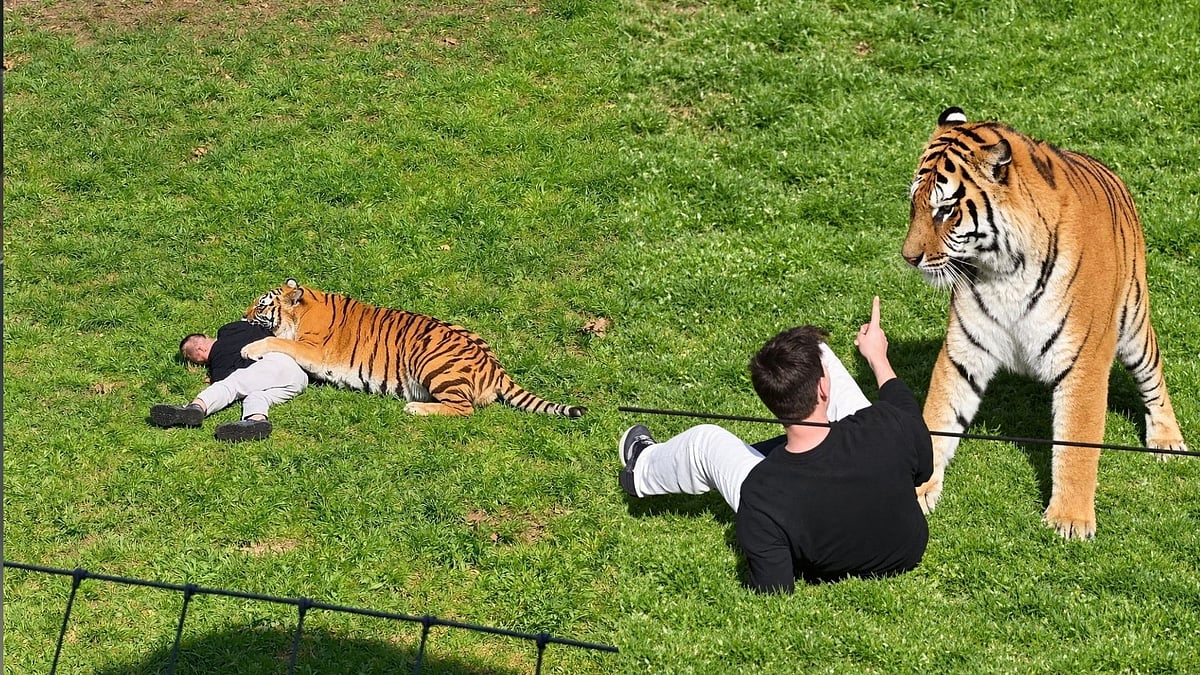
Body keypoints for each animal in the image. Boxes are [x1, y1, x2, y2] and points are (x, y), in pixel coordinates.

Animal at [239, 279, 586, 418]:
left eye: (261, 305)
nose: (242, 315)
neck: (306, 307)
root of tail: (495, 366)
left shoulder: (312, 349)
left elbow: (276, 340)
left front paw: (249, 348)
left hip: (432, 364)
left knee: (464, 409)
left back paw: (415, 408)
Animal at [902, 107, 1186, 540]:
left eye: (946, 210)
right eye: (914, 204)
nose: (908, 257)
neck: (1003, 270)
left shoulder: (1083, 360)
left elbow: (1076, 442)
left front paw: (1069, 520)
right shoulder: (963, 352)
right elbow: (938, 417)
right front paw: (916, 491)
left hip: (1135, 321)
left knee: (1153, 377)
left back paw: (1168, 440)